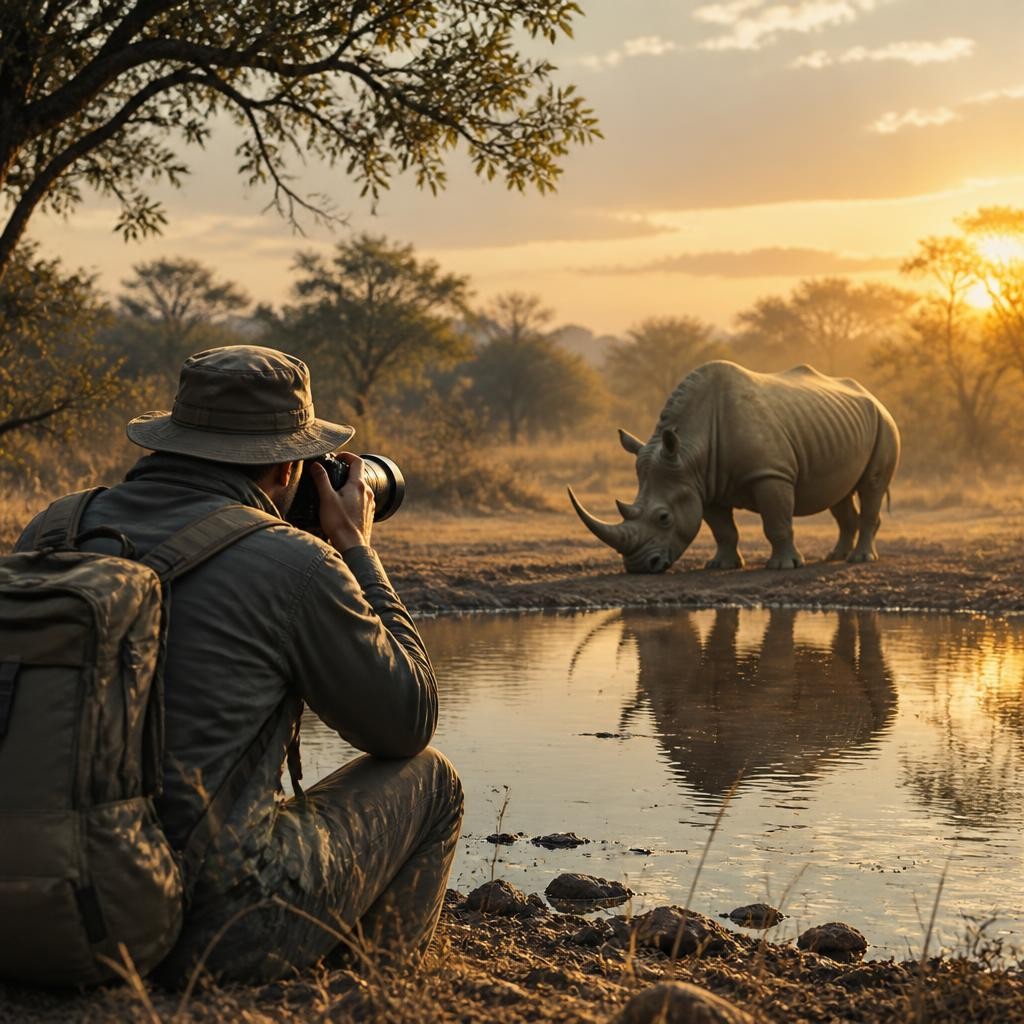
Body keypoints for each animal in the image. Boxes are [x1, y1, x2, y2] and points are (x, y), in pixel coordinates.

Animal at [569, 361, 900, 572]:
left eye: (663, 518)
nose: (639, 566)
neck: (689, 450)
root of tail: (873, 396)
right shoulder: (701, 483)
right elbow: (722, 529)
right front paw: (720, 565)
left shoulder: (770, 473)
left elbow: (776, 522)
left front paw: (784, 566)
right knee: (839, 494)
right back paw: (836, 556)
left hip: (884, 423)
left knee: (871, 486)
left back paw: (860, 560)